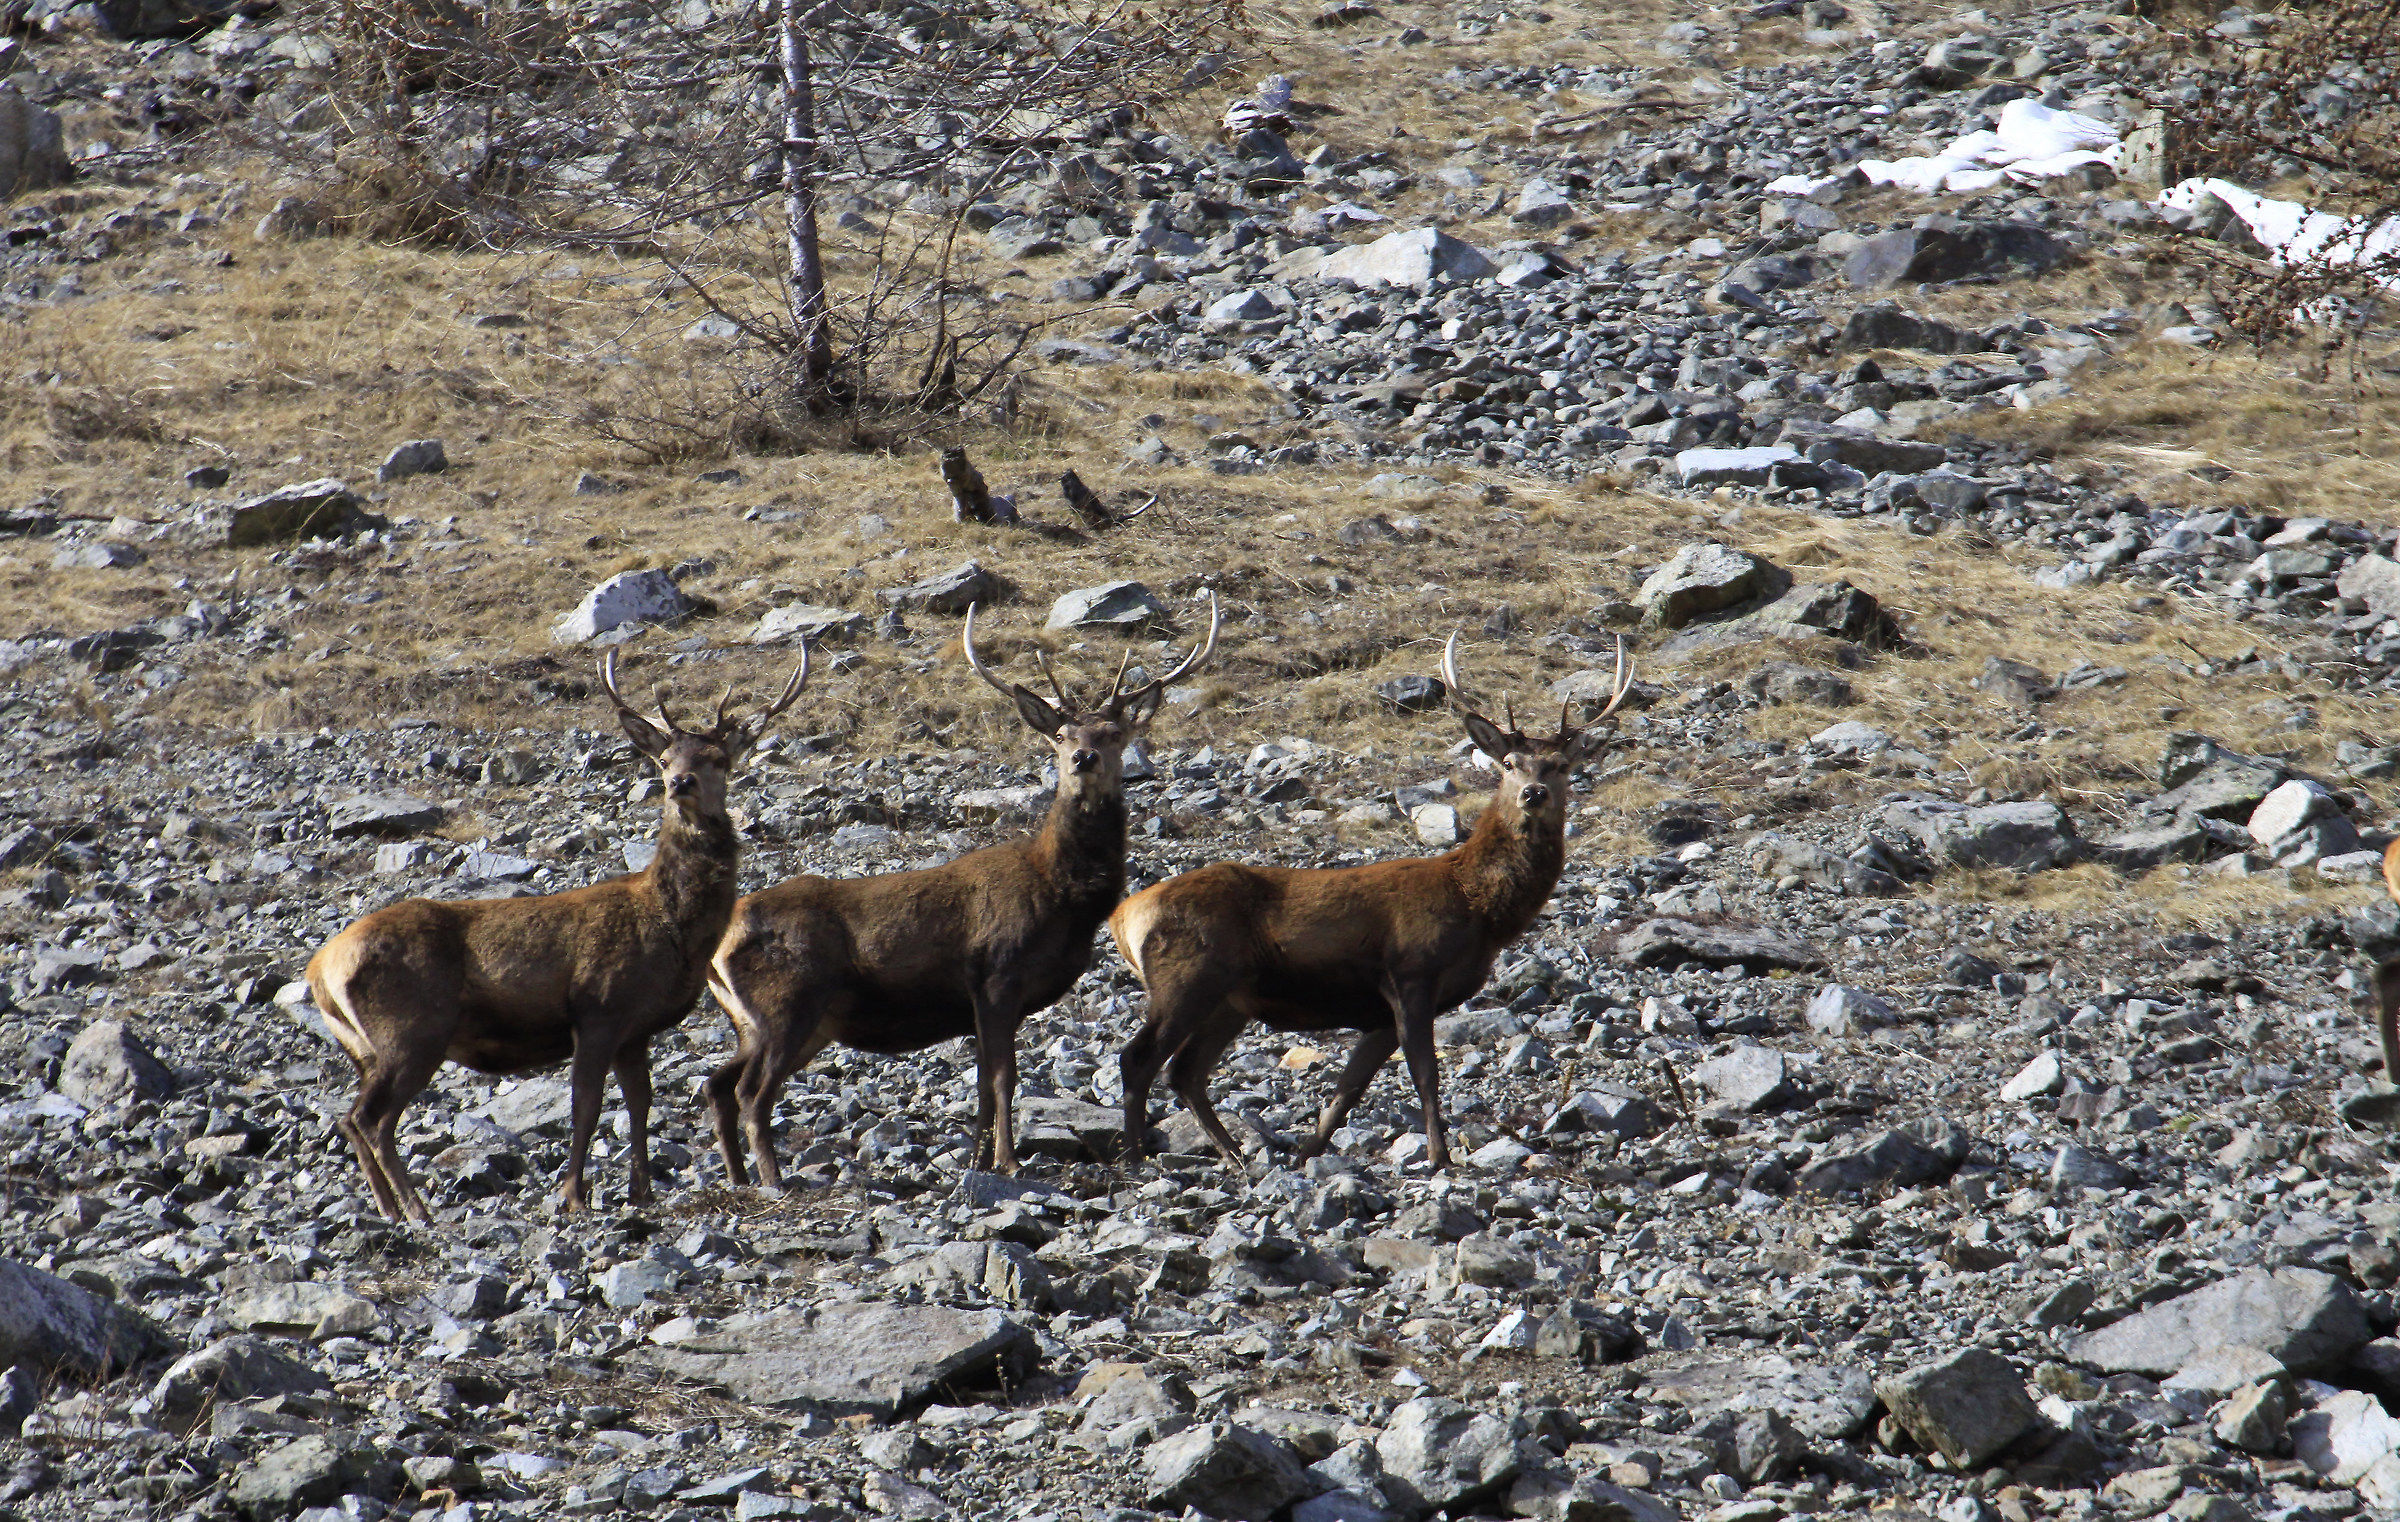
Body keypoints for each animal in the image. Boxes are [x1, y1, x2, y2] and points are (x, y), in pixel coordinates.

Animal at [303, 650, 810, 1224]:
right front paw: (573, 1195)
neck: (672, 931)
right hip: (411, 1029)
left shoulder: (636, 1029)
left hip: (367, 1048)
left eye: (719, 759)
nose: (681, 783)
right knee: (373, 1119)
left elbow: (640, 1103)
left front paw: (641, 1192)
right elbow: (586, 1103)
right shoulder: (598, 1006)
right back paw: (417, 1210)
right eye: (663, 760)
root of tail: (319, 969)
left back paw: (390, 1208)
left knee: (350, 1117)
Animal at [704, 594, 1219, 1187]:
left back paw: (740, 1178)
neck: (1063, 898)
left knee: (717, 1083)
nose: (1083, 758)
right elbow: (1002, 1078)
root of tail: (717, 945)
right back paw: (773, 1181)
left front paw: (977, 1161)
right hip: (789, 1001)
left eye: (1114, 734)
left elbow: (982, 1084)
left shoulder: (990, 996)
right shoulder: (995, 972)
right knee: (751, 1091)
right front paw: (1009, 1161)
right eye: (1061, 736)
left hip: (767, 1022)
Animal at [1109, 632, 1634, 1172]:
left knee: (1185, 1072)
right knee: (1138, 1058)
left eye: (1561, 766)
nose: (1533, 793)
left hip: (1230, 999)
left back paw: (1234, 1154)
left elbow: (1348, 1088)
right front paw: (1439, 1156)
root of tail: (1124, 917)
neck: (1478, 910)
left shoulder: (1381, 1012)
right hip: (1187, 975)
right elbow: (1424, 1073)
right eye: (1509, 763)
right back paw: (1134, 1156)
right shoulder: (1410, 971)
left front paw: (1307, 1153)